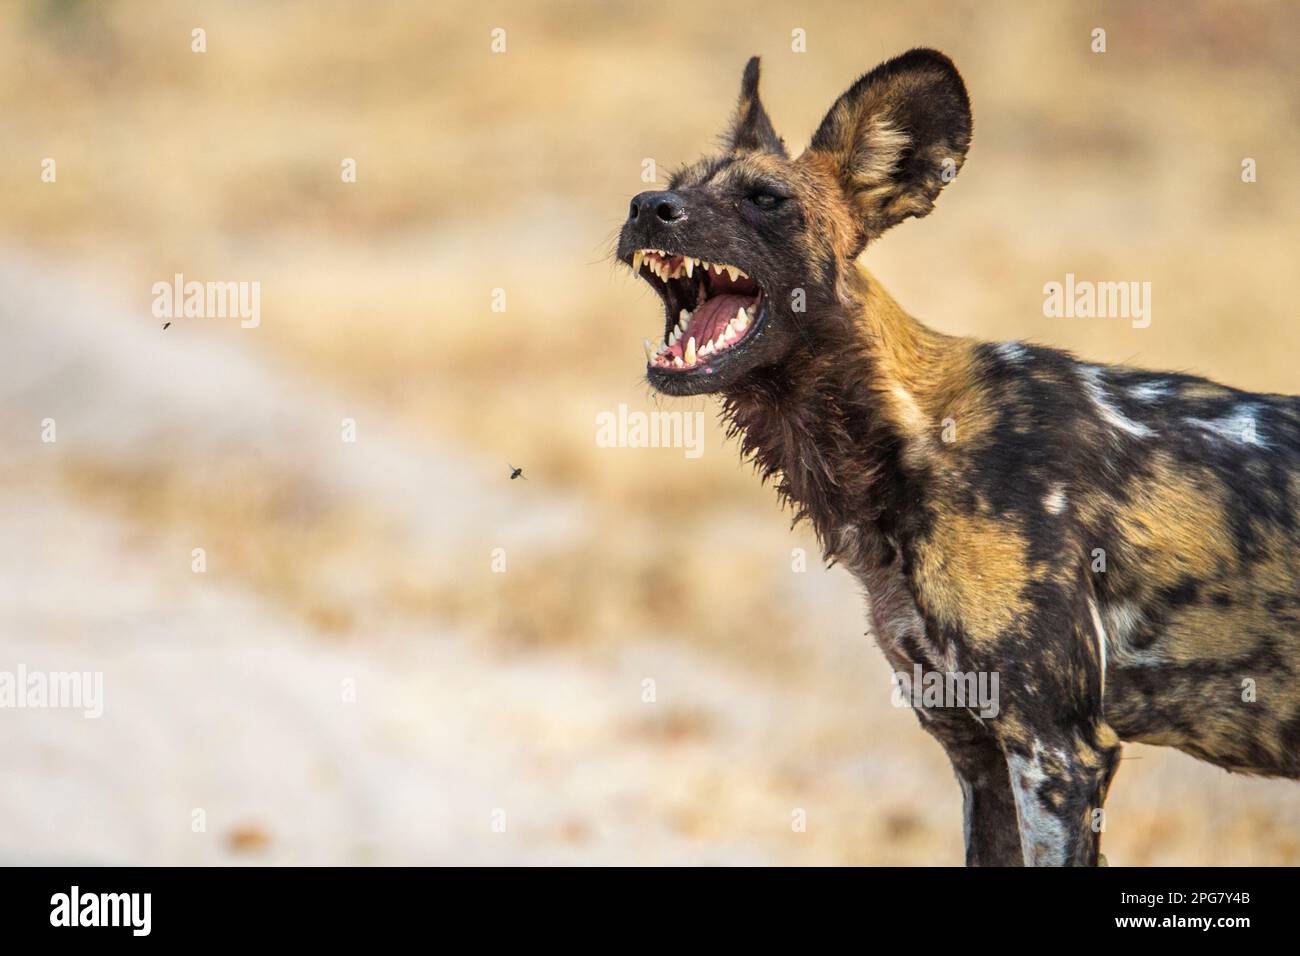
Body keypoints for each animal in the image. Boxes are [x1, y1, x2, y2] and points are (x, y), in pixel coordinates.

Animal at [613, 50, 1294, 868]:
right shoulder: (979, 752)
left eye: (765, 198)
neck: (904, 443)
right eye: (675, 183)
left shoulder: (1060, 752)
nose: (647, 206)